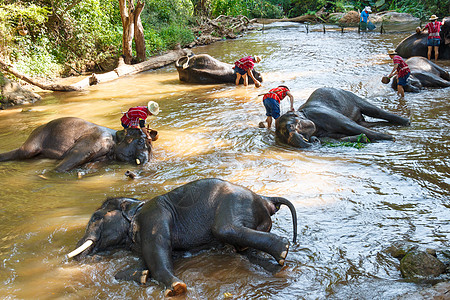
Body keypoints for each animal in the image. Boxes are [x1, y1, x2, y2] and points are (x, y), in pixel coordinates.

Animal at [0, 116, 158, 172]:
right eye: (141, 141)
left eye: (151, 147)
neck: (114, 139)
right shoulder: (95, 139)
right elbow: (73, 157)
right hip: (36, 137)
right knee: (24, 151)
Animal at [67, 178, 298, 298]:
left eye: (96, 218)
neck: (137, 205)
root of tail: (266, 199)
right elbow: (154, 257)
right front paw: (141, 275)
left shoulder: (153, 216)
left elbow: (158, 252)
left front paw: (177, 288)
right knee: (241, 249)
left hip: (233, 203)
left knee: (224, 229)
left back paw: (283, 249)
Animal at [274, 86, 412, 148]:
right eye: (284, 134)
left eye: (291, 126)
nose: (311, 139)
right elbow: (337, 139)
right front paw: (363, 138)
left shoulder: (320, 113)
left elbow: (348, 126)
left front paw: (391, 138)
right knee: (367, 123)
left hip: (350, 96)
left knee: (374, 111)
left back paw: (406, 123)